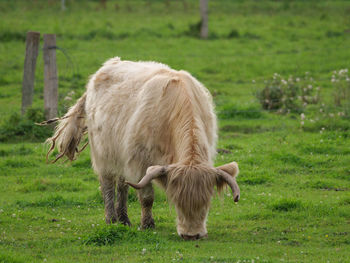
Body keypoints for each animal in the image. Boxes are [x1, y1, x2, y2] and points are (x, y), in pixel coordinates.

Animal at [45, 57, 239, 241]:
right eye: (176, 202)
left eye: (207, 203)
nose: (191, 235)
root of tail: (107, 66)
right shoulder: (139, 162)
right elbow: (146, 197)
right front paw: (147, 224)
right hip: (103, 153)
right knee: (108, 184)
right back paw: (111, 219)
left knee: (122, 186)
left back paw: (124, 220)